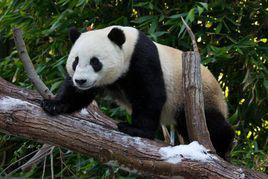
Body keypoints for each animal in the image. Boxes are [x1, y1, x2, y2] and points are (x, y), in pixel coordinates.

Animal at [41, 25, 234, 159]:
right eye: (75, 61)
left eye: (95, 62)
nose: (80, 81)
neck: (128, 46)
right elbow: (77, 94)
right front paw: (53, 105)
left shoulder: (142, 58)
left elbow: (150, 95)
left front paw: (135, 129)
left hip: (200, 96)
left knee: (212, 122)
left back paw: (224, 146)